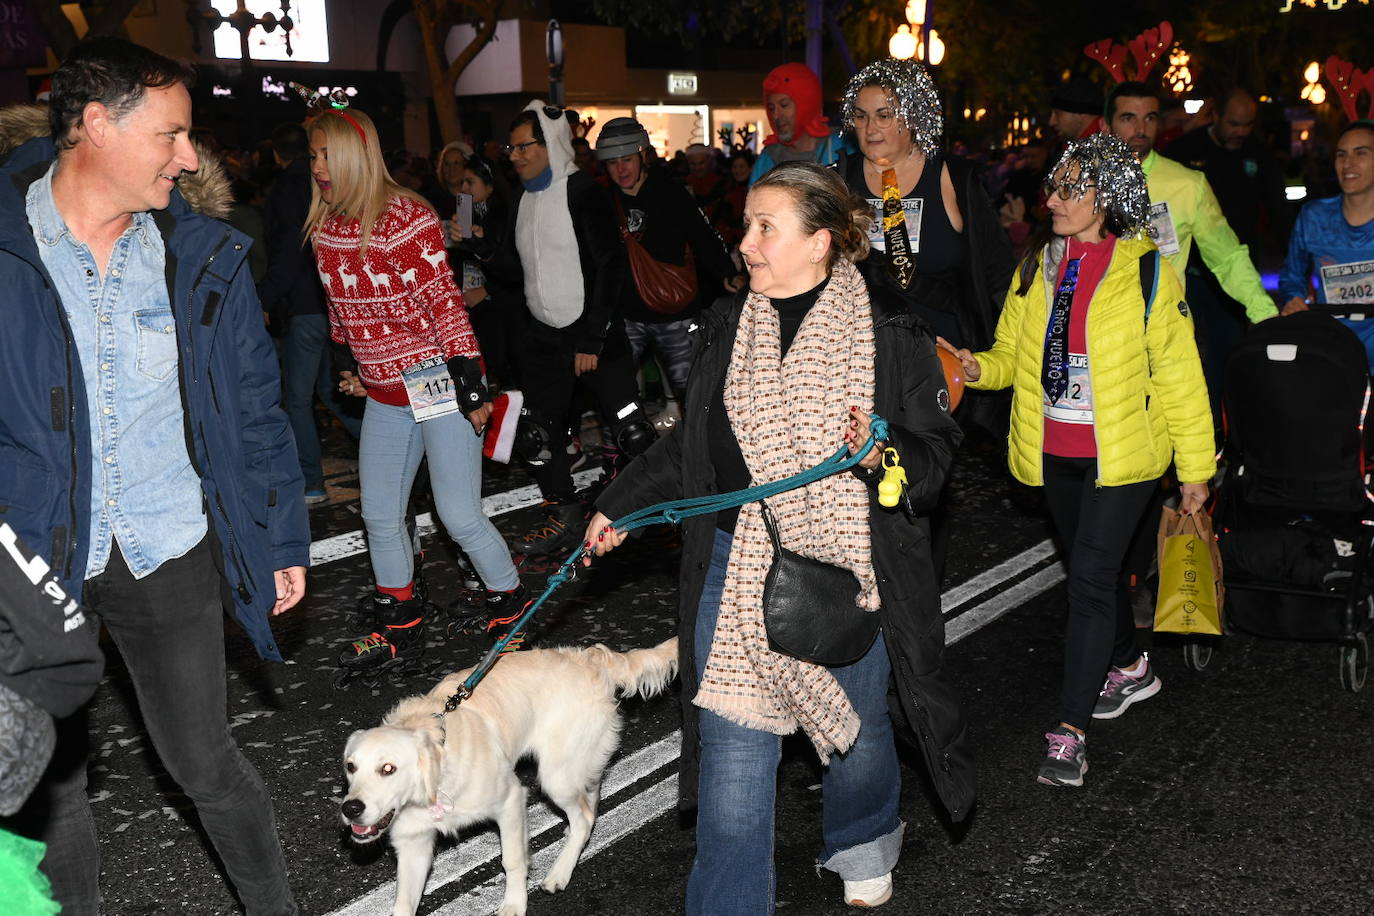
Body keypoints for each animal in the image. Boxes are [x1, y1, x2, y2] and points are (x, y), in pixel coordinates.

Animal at [340, 637, 678, 916]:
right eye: (350, 767)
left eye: (388, 768)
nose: (350, 808)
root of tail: (590, 659)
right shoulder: (413, 844)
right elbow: (403, 902)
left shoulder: (511, 801)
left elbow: (512, 860)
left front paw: (514, 904)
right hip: (575, 765)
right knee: (590, 801)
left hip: (556, 776)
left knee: (583, 816)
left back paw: (559, 873)